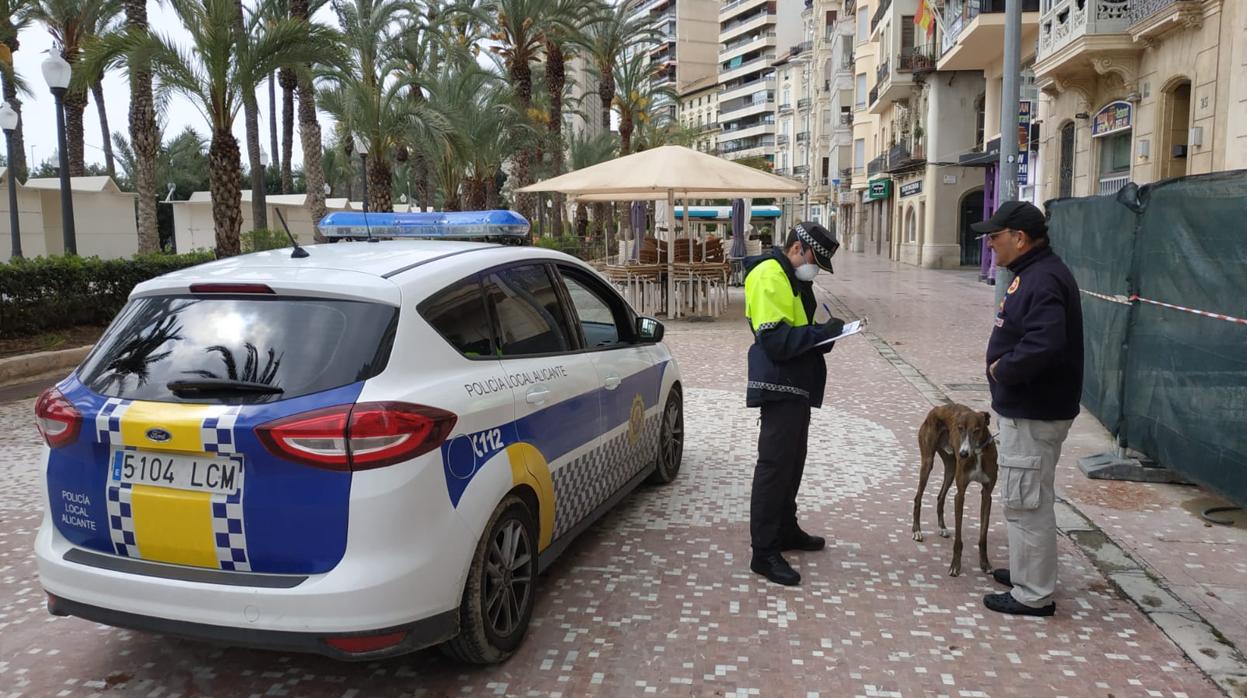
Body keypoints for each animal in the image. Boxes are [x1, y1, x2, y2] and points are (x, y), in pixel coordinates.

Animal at [912, 406, 997, 575]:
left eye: (977, 430)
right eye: (959, 428)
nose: (963, 454)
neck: (977, 454)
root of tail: (935, 409)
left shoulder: (987, 494)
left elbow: (983, 535)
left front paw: (985, 563)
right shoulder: (960, 494)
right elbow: (958, 539)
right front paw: (955, 566)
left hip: (951, 468)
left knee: (940, 497)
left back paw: (942, 527)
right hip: (928, 462)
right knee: (918, 497)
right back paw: (917, 530)